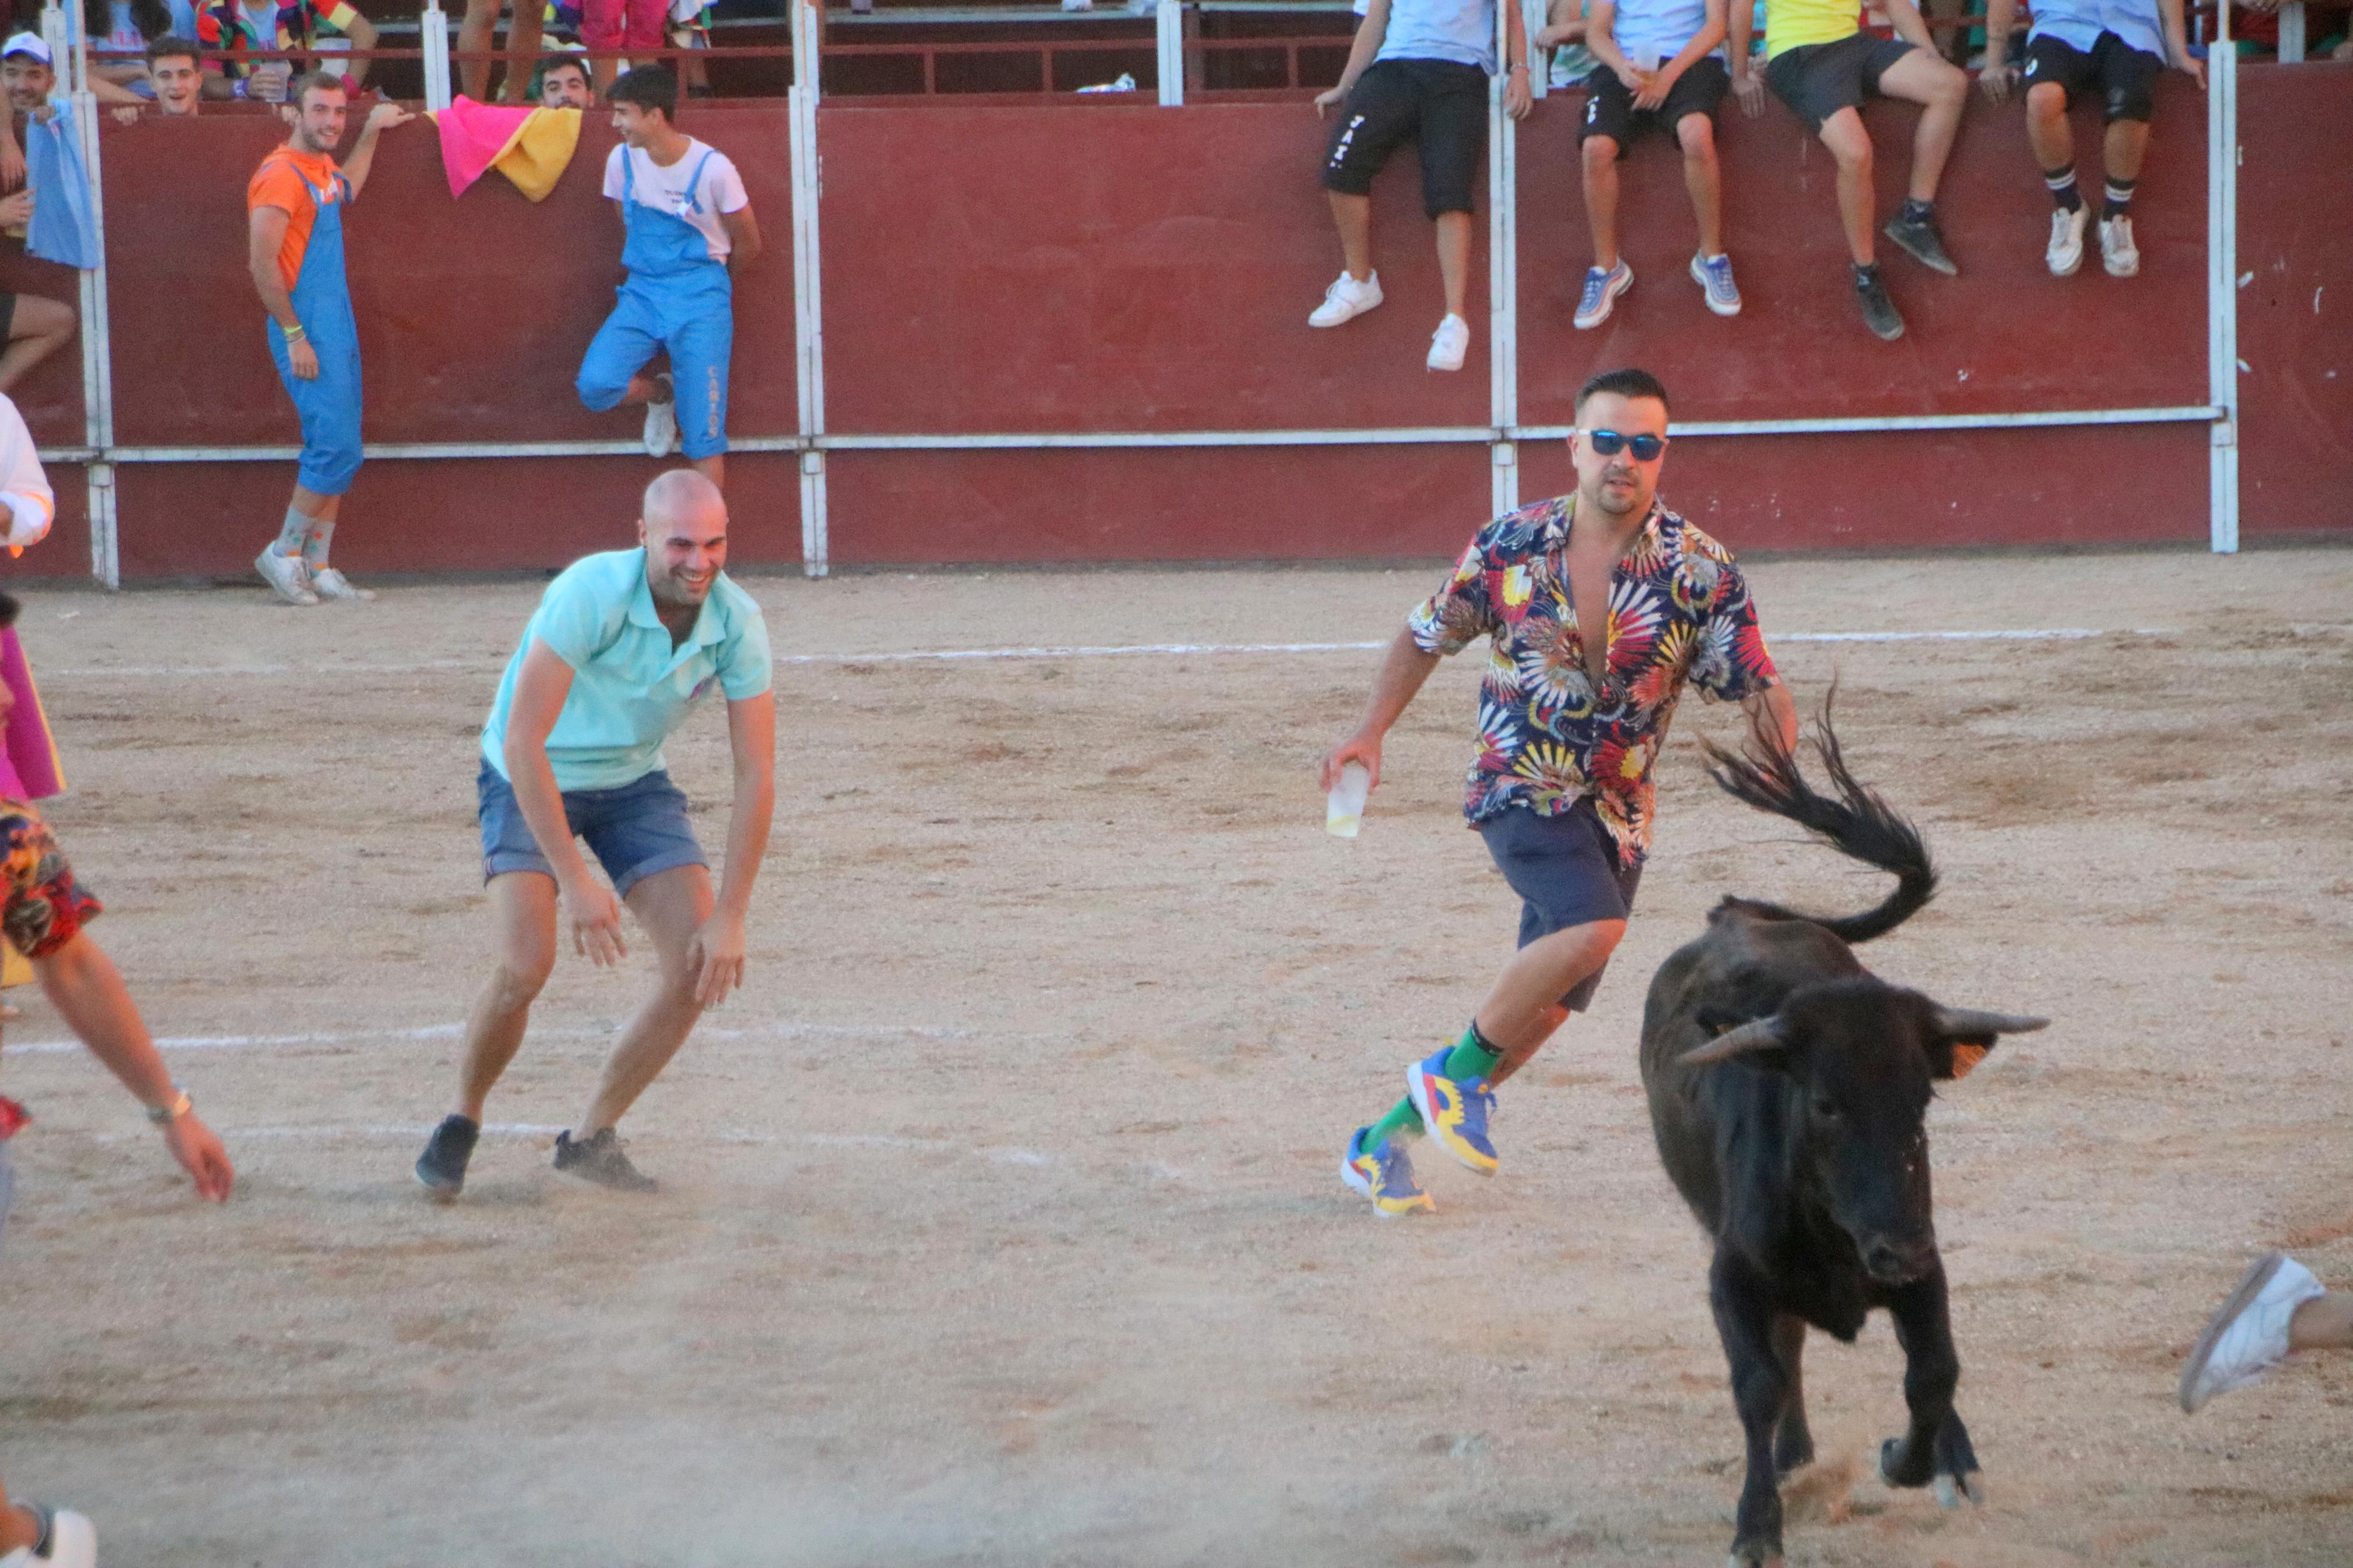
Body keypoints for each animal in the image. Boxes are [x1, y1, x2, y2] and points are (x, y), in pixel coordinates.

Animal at [1637, 714, 2042, 1568]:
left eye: (1922, 1098)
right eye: (1822, 1104)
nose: (1893, 1248)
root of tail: (1737, 915)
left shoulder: (1925, 1260)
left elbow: (1933, 1370)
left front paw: (1912, 1460)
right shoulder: (1732, 1274)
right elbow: (1758, 1380)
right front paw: (1756, 1524)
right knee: (1787, 1349)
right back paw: (1794, 1456)